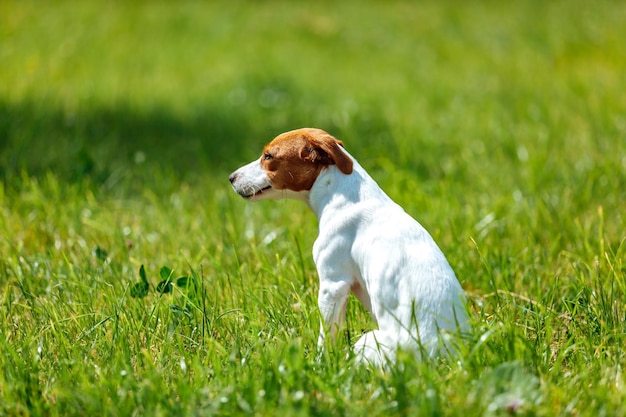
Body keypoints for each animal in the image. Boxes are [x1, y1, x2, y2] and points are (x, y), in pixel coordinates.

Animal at [229, 127, 468, 364]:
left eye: (268, 156)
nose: (231, 177)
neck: (342, 195)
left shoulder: (333, 285)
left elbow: (326, 337)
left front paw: (320, 363)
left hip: (369, 341)